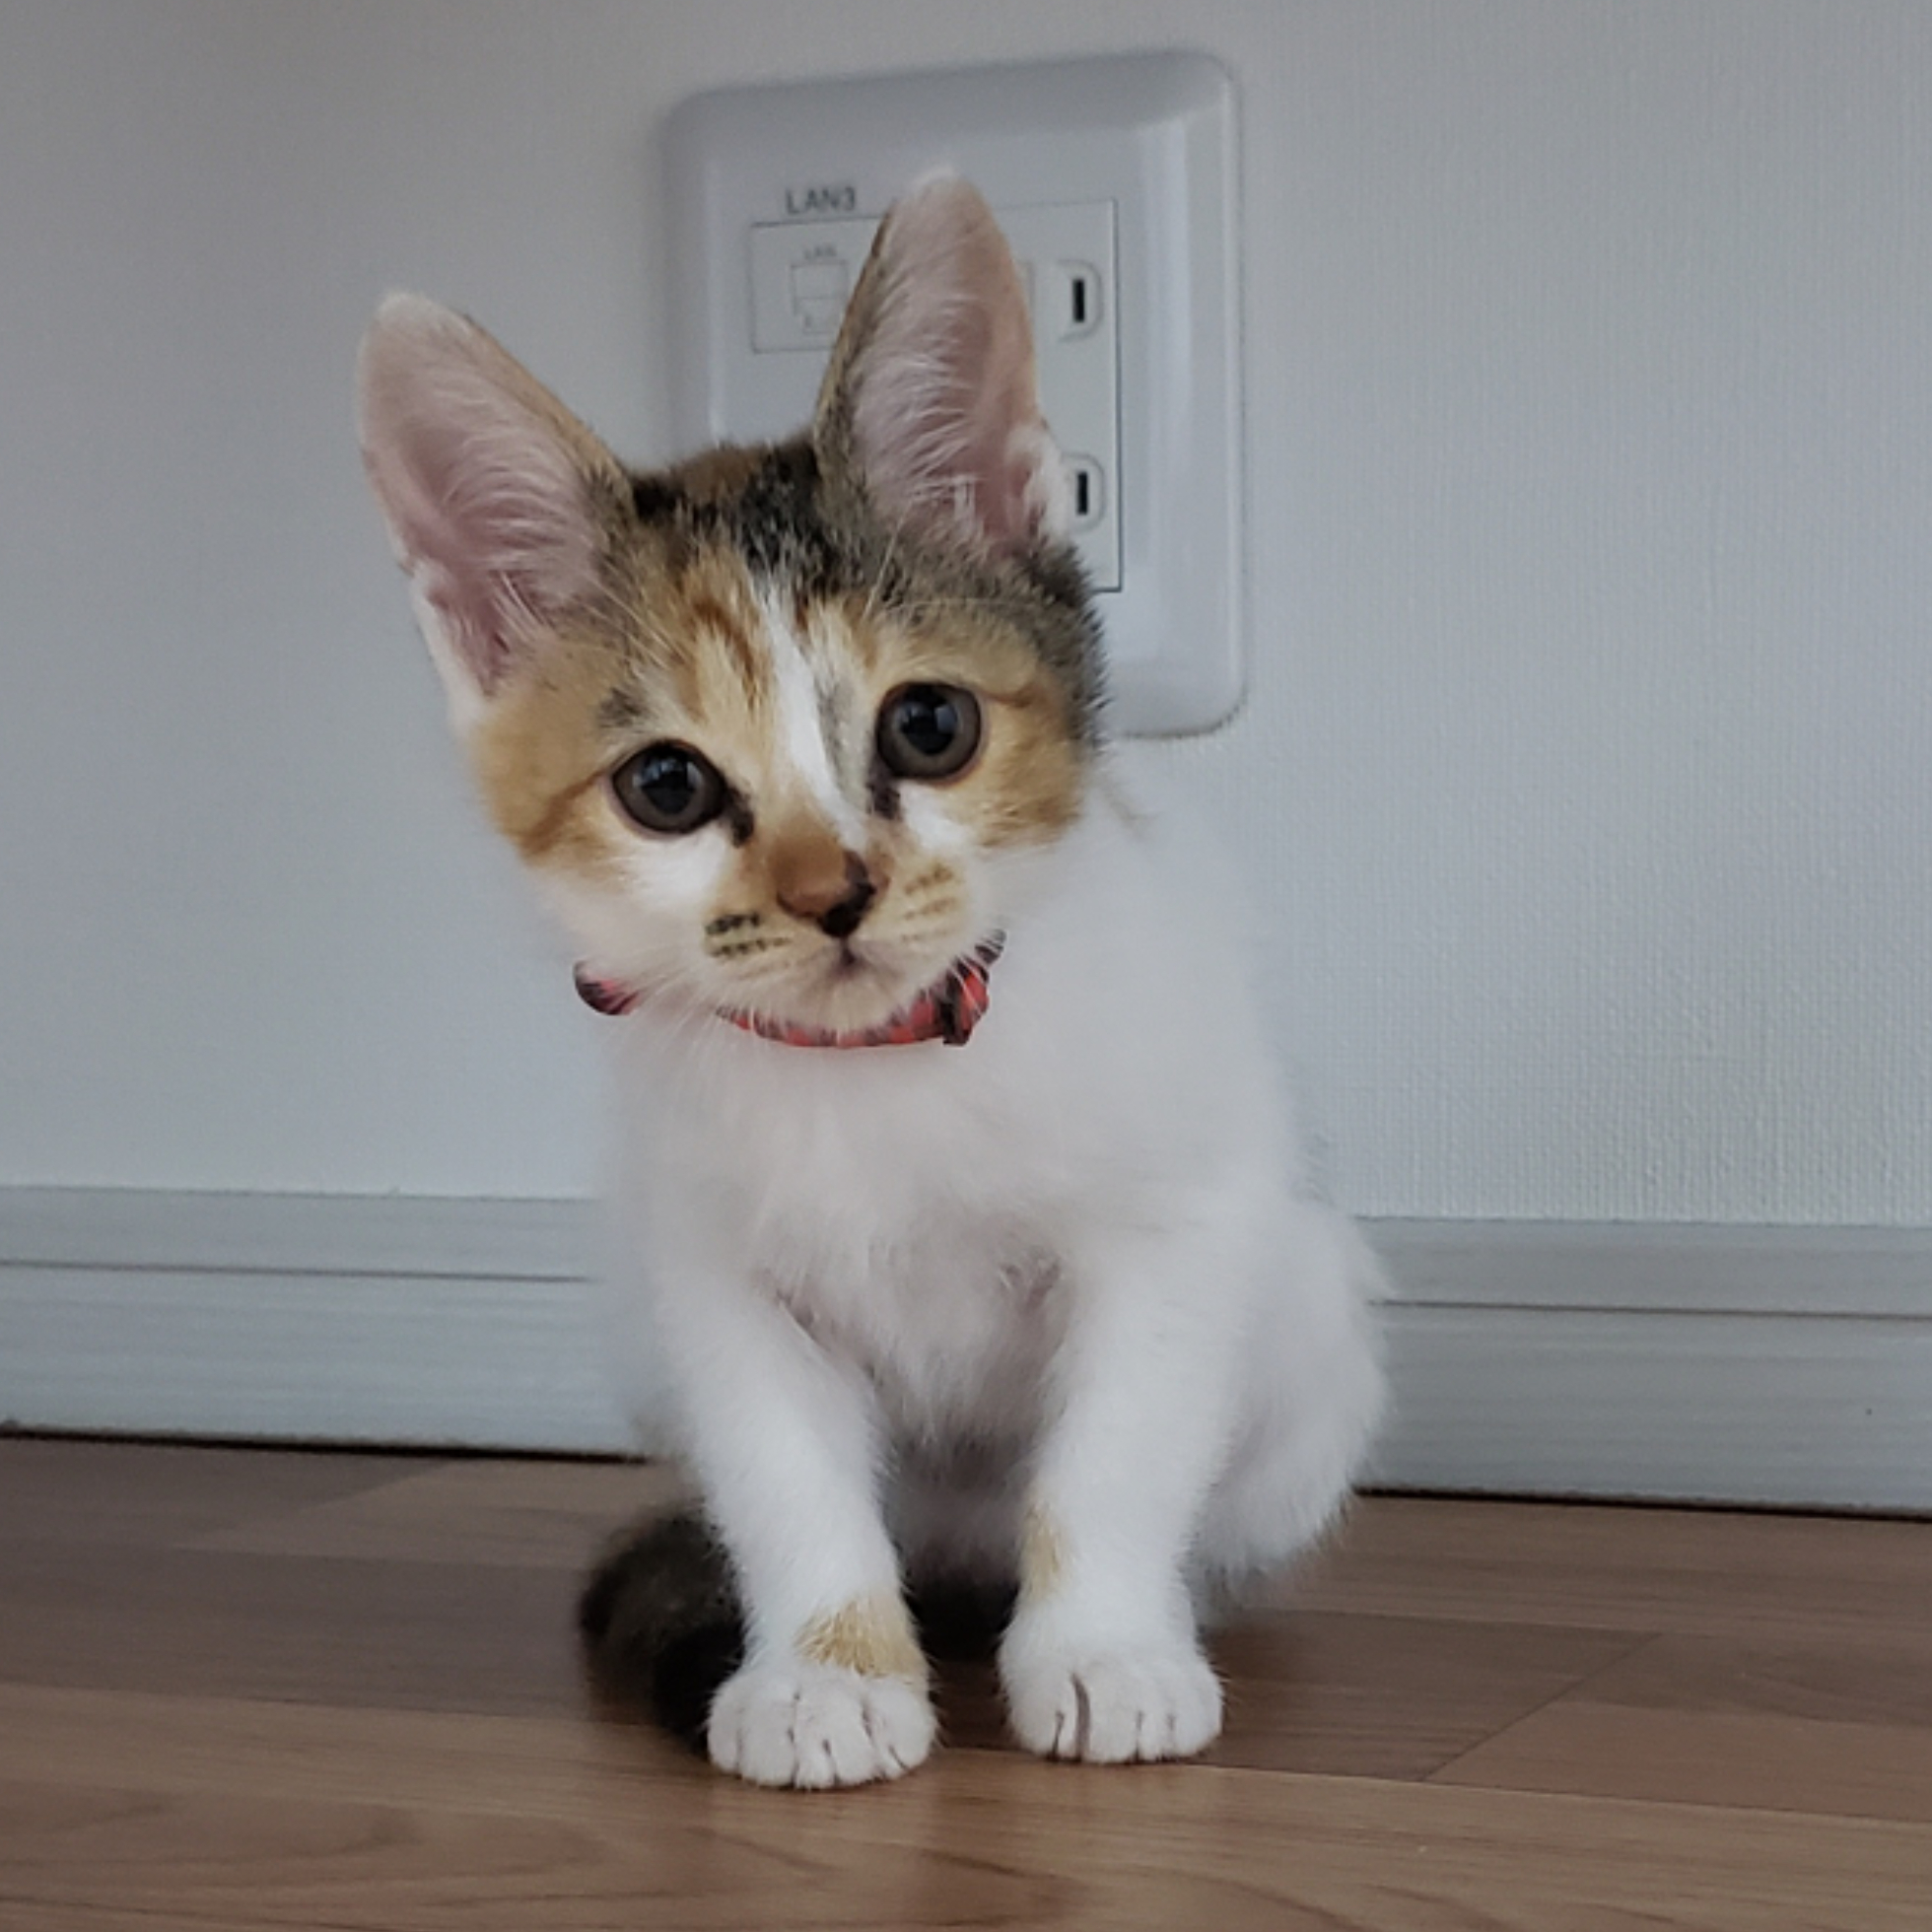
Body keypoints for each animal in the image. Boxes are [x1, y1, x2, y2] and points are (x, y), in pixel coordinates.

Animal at [356, 174, 1385, 1789]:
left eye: (930, 724)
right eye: (666, 785)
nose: (830, 891)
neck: (877, 1068)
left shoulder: (1175, 1221)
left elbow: (1116, 1454)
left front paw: (1104, 1647)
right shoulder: (713, 1276)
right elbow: (784, 1479)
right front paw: (823, 1673)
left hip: (1311, 1316)